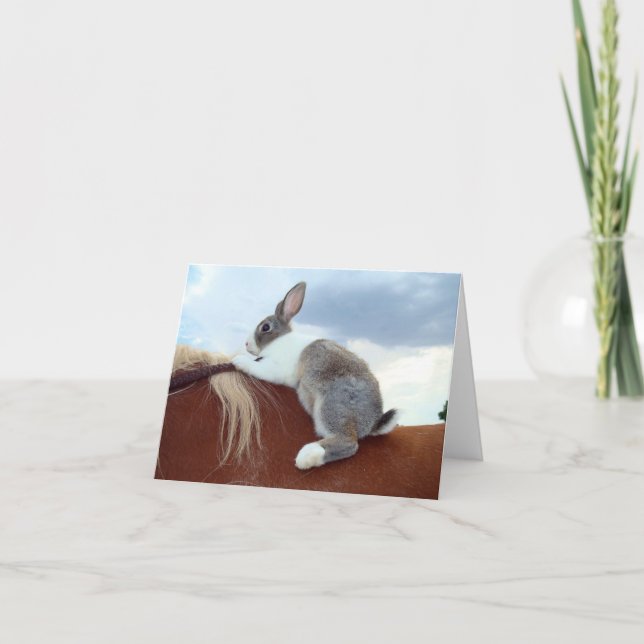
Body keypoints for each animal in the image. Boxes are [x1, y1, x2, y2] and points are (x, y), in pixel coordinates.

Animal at [232, 281, 399, 469]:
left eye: (265, 327)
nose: (246, 344)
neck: (278, 341)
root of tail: (372, 423)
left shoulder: (275, 368)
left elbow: (260, 368)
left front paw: (239, 361)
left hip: (331, 406)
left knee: (348, 443)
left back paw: (307, 456)